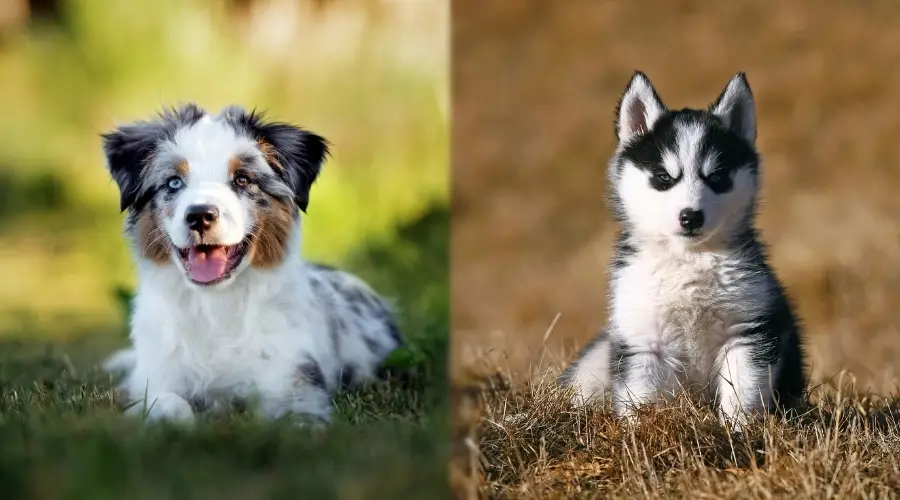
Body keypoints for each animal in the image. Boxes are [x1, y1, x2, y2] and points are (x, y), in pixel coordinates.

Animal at [99, 103, 404, 424]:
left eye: (242, 179)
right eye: (174, 182)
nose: (199, 216)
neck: (215, 306)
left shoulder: (297, 385)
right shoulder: (154, 380)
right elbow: (168, 404)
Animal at [564, 72, 808, 428]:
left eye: (717, 177)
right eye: (664, 177)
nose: (691, 217)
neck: (688, 260)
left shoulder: (747, 333)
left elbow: (742, 394)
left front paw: (739, 432)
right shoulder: (643, 341)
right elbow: (641, 400)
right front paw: (642, 432)